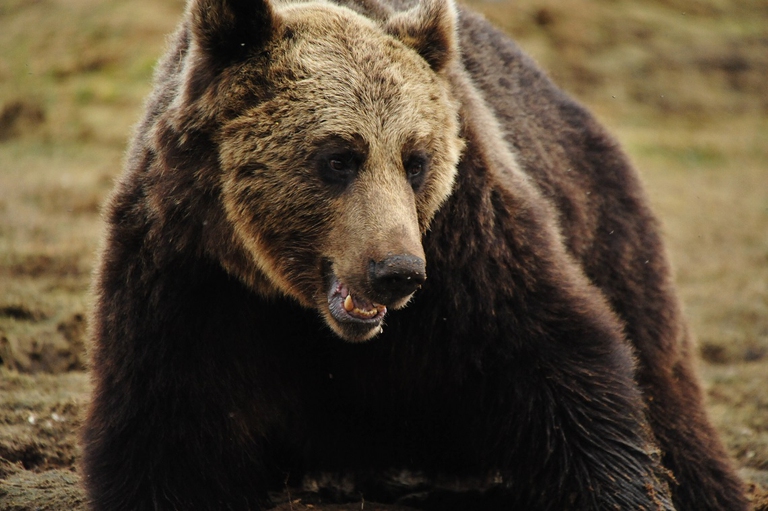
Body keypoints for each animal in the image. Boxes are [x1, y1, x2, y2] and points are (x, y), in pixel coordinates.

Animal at [80, 0, 749, 509]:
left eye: (416, 159)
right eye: (338, 157)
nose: (395, 273)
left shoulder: (468, 240)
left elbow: (559, 364)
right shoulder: (189, 272)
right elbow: (170, 431)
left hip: (608, 227)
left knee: (661, 373)